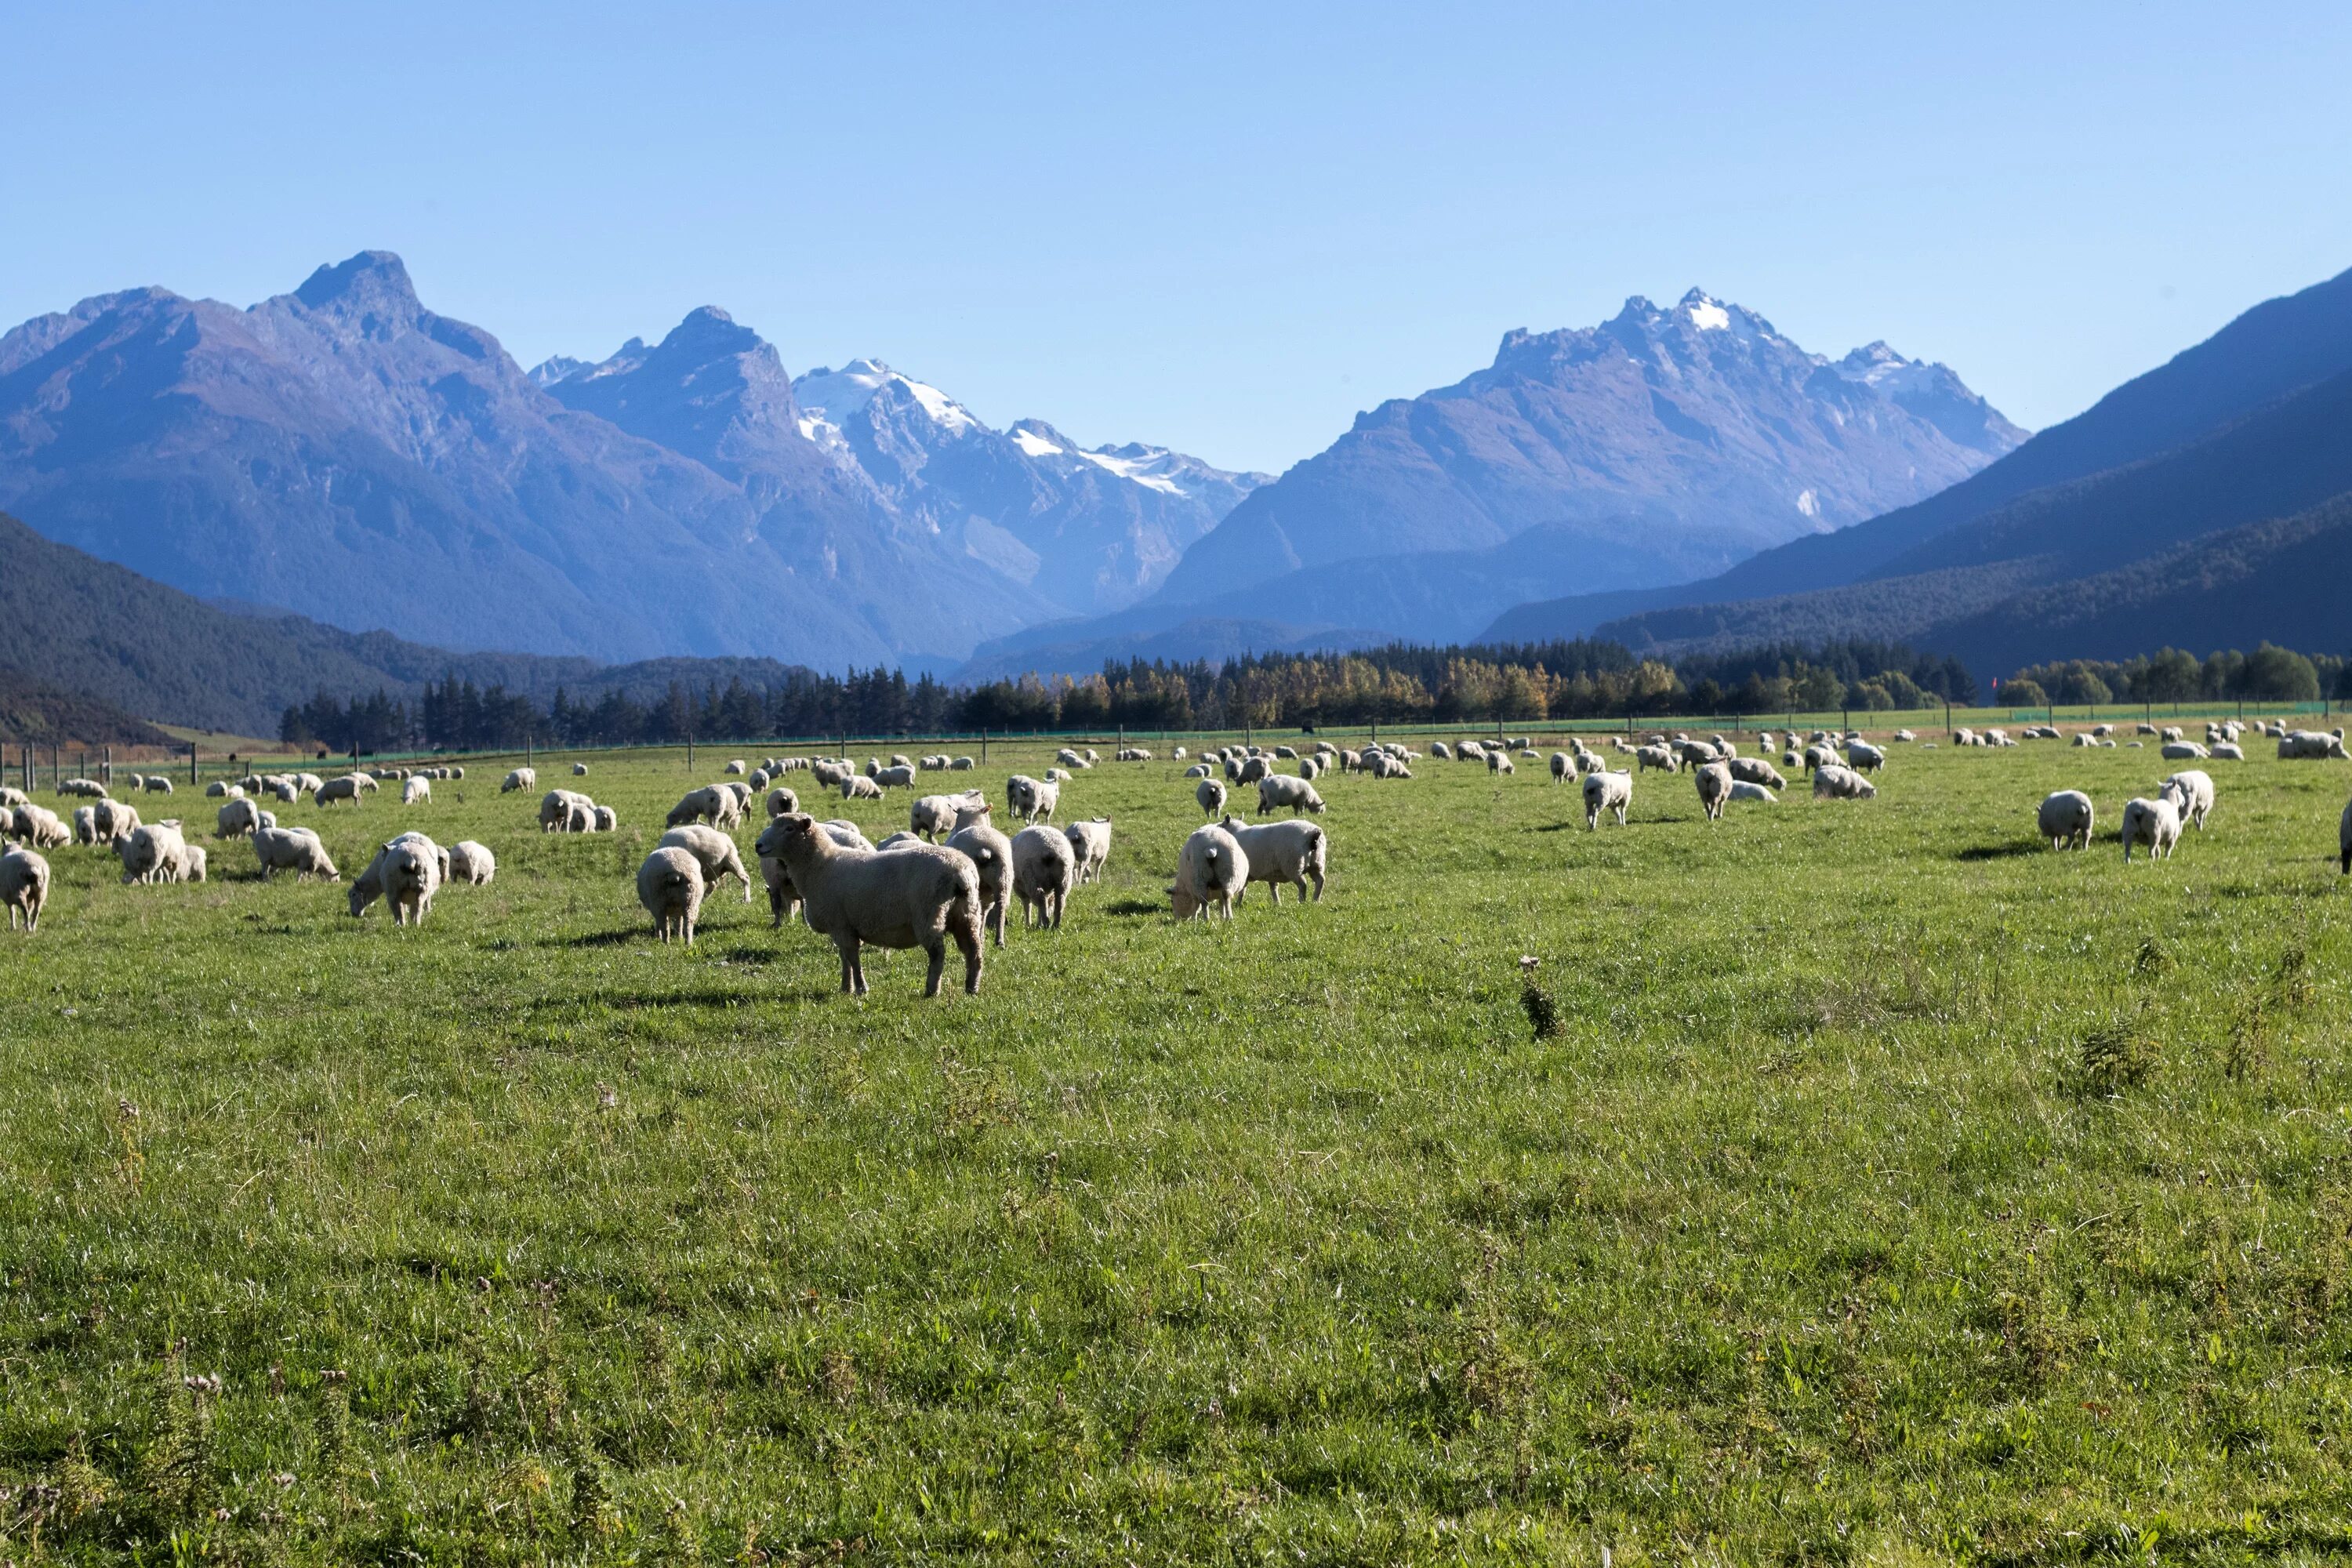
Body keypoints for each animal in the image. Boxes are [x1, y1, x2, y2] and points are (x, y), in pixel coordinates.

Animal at [762, 818, 983, 1001]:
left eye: (789, 828)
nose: (758, 846)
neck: (820, 866)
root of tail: (960, 871)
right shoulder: (841, 926)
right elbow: (844, 959)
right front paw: (846, 987)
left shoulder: (841, 925)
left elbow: (852, 958)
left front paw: (861, 989)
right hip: (967, 914)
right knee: (974, 951)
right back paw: (972, 988)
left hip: (929, 915)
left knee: (938, 954)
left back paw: (932, 990)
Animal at [1016, 822, 1077, 931]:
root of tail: (1049, 848)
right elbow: (1047, 905)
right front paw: (1038, 923)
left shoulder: (1021, 890)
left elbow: (1027, 905)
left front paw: (1029, 924)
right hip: (1064, 880)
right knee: (1059, 901)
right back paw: (1055, 925)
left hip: (1031, 878)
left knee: (1040, 898)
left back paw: (1045, 923)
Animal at [1214, 818, 1327, 902]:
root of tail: (1313, 833)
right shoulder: (1272, 873)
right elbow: (1273, 888)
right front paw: (1277, 904)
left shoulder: (1245, 874)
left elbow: (1242, 890)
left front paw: (1238, 904)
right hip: (1317, 864)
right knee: (1320, 881)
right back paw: (1315, 900)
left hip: (1293, 865)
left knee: (1303, 884)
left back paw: (1301, 901)